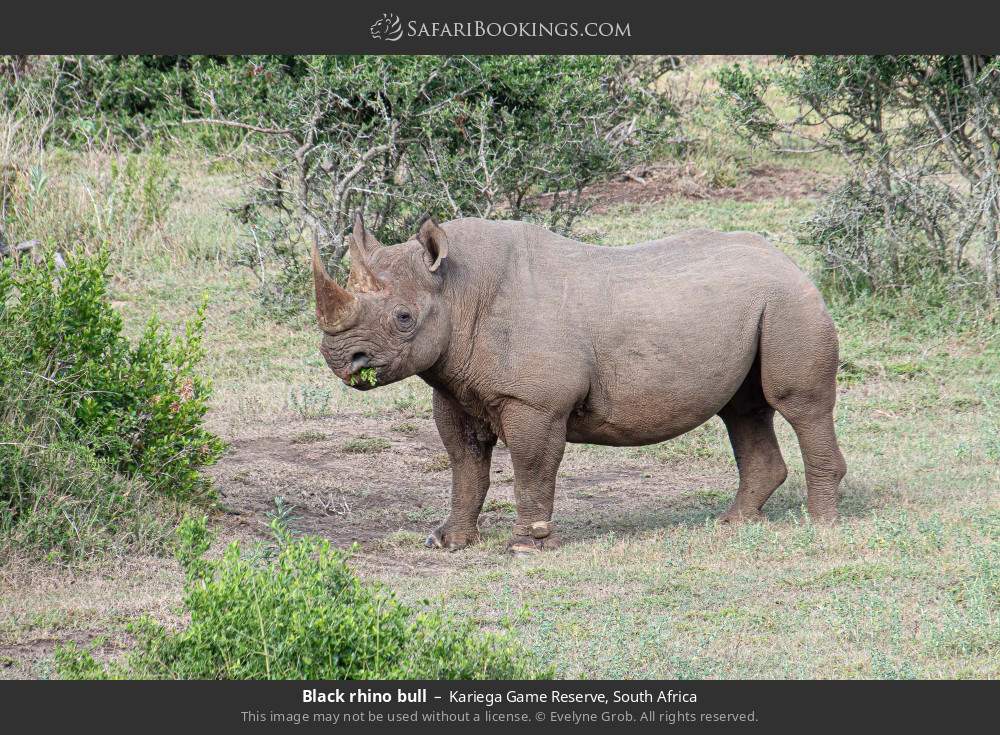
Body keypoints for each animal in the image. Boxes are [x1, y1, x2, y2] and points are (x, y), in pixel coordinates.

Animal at [314, 213, 847, 553]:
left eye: (404, 318)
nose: (340, 359)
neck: (456, 289)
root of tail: (789, 261)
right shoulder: (452, 385)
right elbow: (466, 467)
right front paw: (448, 541)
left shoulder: (535, 401)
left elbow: (530, 467)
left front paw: (526, 546)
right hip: (759, 306)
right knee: (743, 410)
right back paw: (733, 523)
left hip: (789, 302)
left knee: (799, 404)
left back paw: (820, 527)